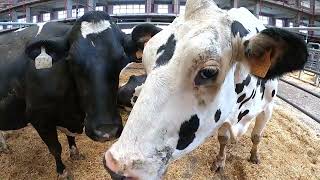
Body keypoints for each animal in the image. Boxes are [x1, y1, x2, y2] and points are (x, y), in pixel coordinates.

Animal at [0, 11, 160, 179]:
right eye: (72, 60)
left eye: (121, 60)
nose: (106, 131)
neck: (74, 111)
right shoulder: (39, 118)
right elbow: (55, 148)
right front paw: (62, 171)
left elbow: (70, 137)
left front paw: (74, 152)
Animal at [103, 0, 308, 179]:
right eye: (145, 62)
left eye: (208, 72)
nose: (114, 164)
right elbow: (223, 139)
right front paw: (220, 161)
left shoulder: (268, 107)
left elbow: (257, 136)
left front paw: (254, 156)